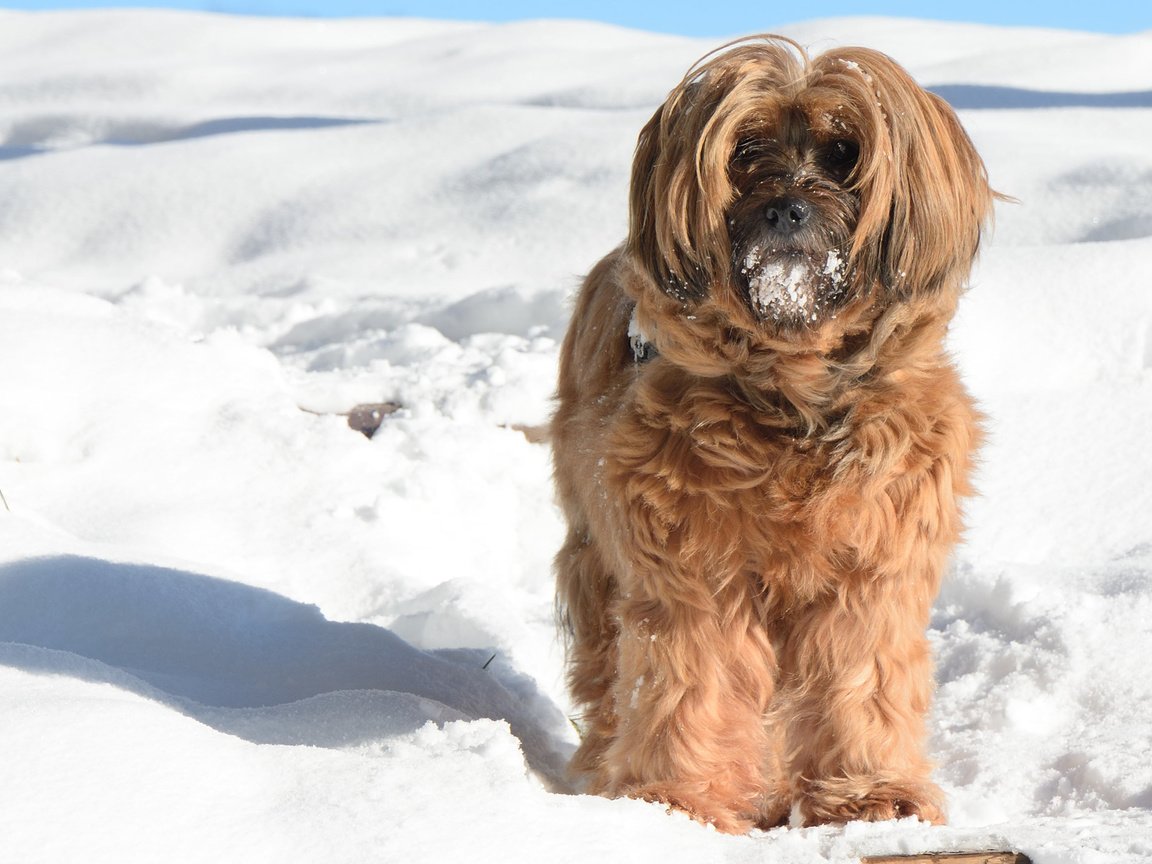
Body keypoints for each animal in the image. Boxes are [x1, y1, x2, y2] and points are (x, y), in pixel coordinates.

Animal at [552, 37, 995, 834]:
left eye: (845, 152)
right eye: (747, 149)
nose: (787, 209)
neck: (792, 398)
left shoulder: (870, 572)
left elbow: (860, 676)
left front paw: (868, 794)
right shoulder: (692, 571)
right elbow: (691, 679)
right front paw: (677, 803)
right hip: (594, 555)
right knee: (607, 671)